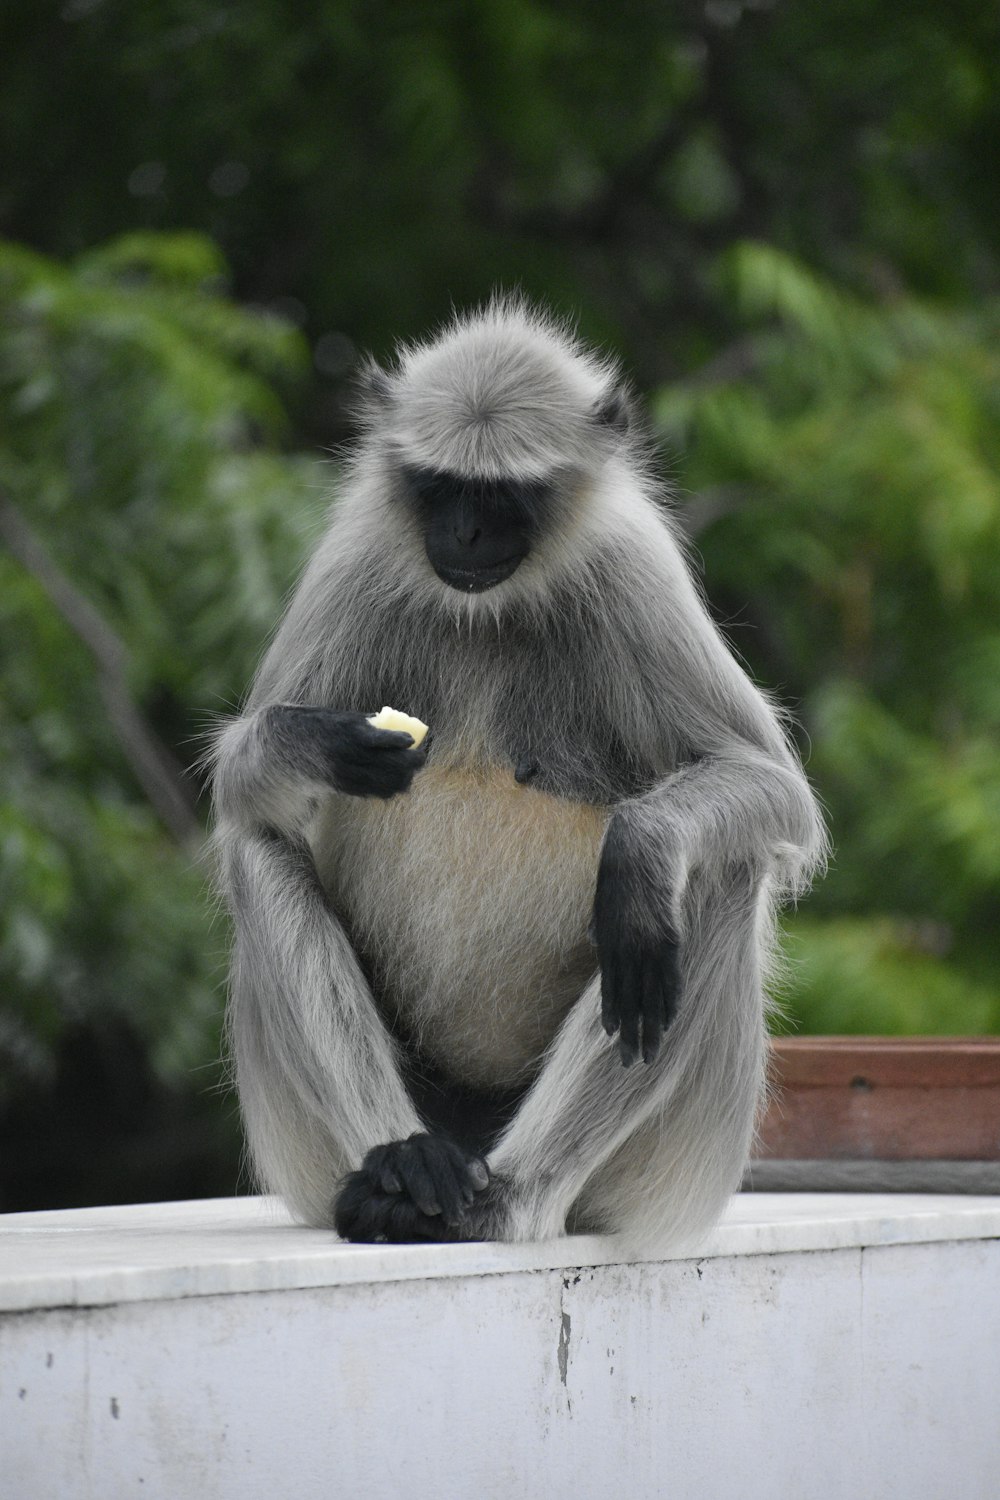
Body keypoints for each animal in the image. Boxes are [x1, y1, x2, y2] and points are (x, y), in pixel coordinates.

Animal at [206, 298, 827, 1248]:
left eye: (501, 496)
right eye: (440, 488)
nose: (464, 533)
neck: (487, 611)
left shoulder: (633, 571)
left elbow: (777, 796)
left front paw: (641, 850)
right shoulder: (358, 557)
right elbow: (238, 787)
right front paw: (311, 744)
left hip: (663, 1169)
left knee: (718, 871)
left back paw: (509, 1200)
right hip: (324, 1147)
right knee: (255, 845)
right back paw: (402, 1168)